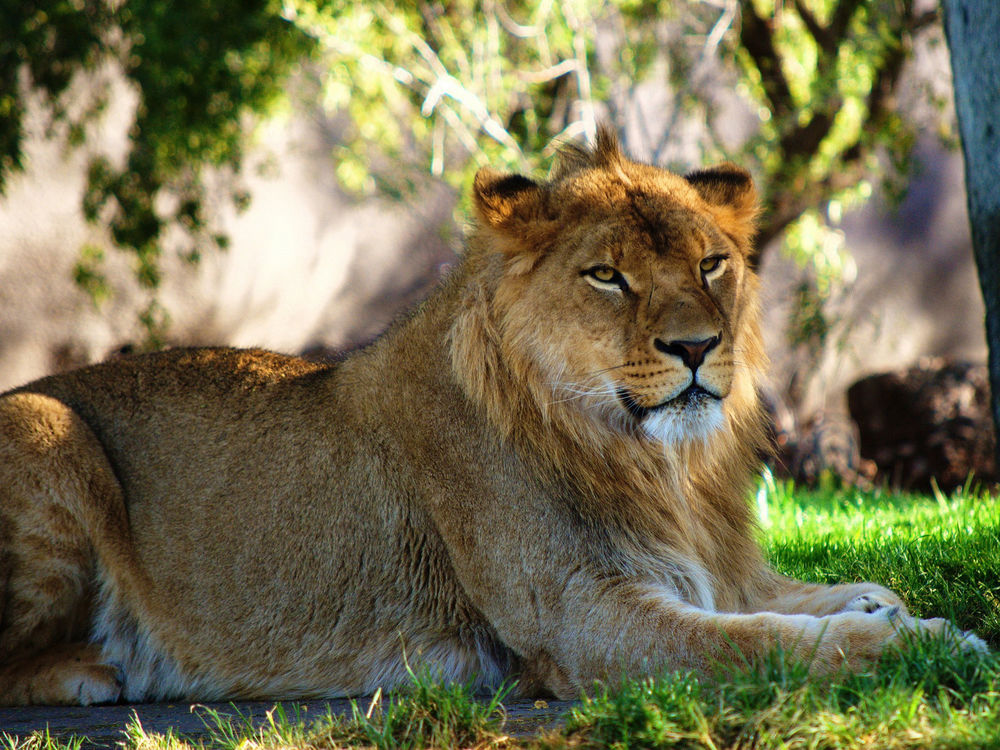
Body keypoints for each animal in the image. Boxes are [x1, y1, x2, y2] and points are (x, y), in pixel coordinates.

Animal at [0, 126, 984, 708]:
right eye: (607, 276)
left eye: (711, 263)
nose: (700, 346)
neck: (656, 463)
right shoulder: (582, 621)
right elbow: (767, 645)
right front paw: (922, 644)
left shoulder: (706, 565)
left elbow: (796, 598)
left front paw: (883, 605)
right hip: (50, 434)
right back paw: (101, 668)